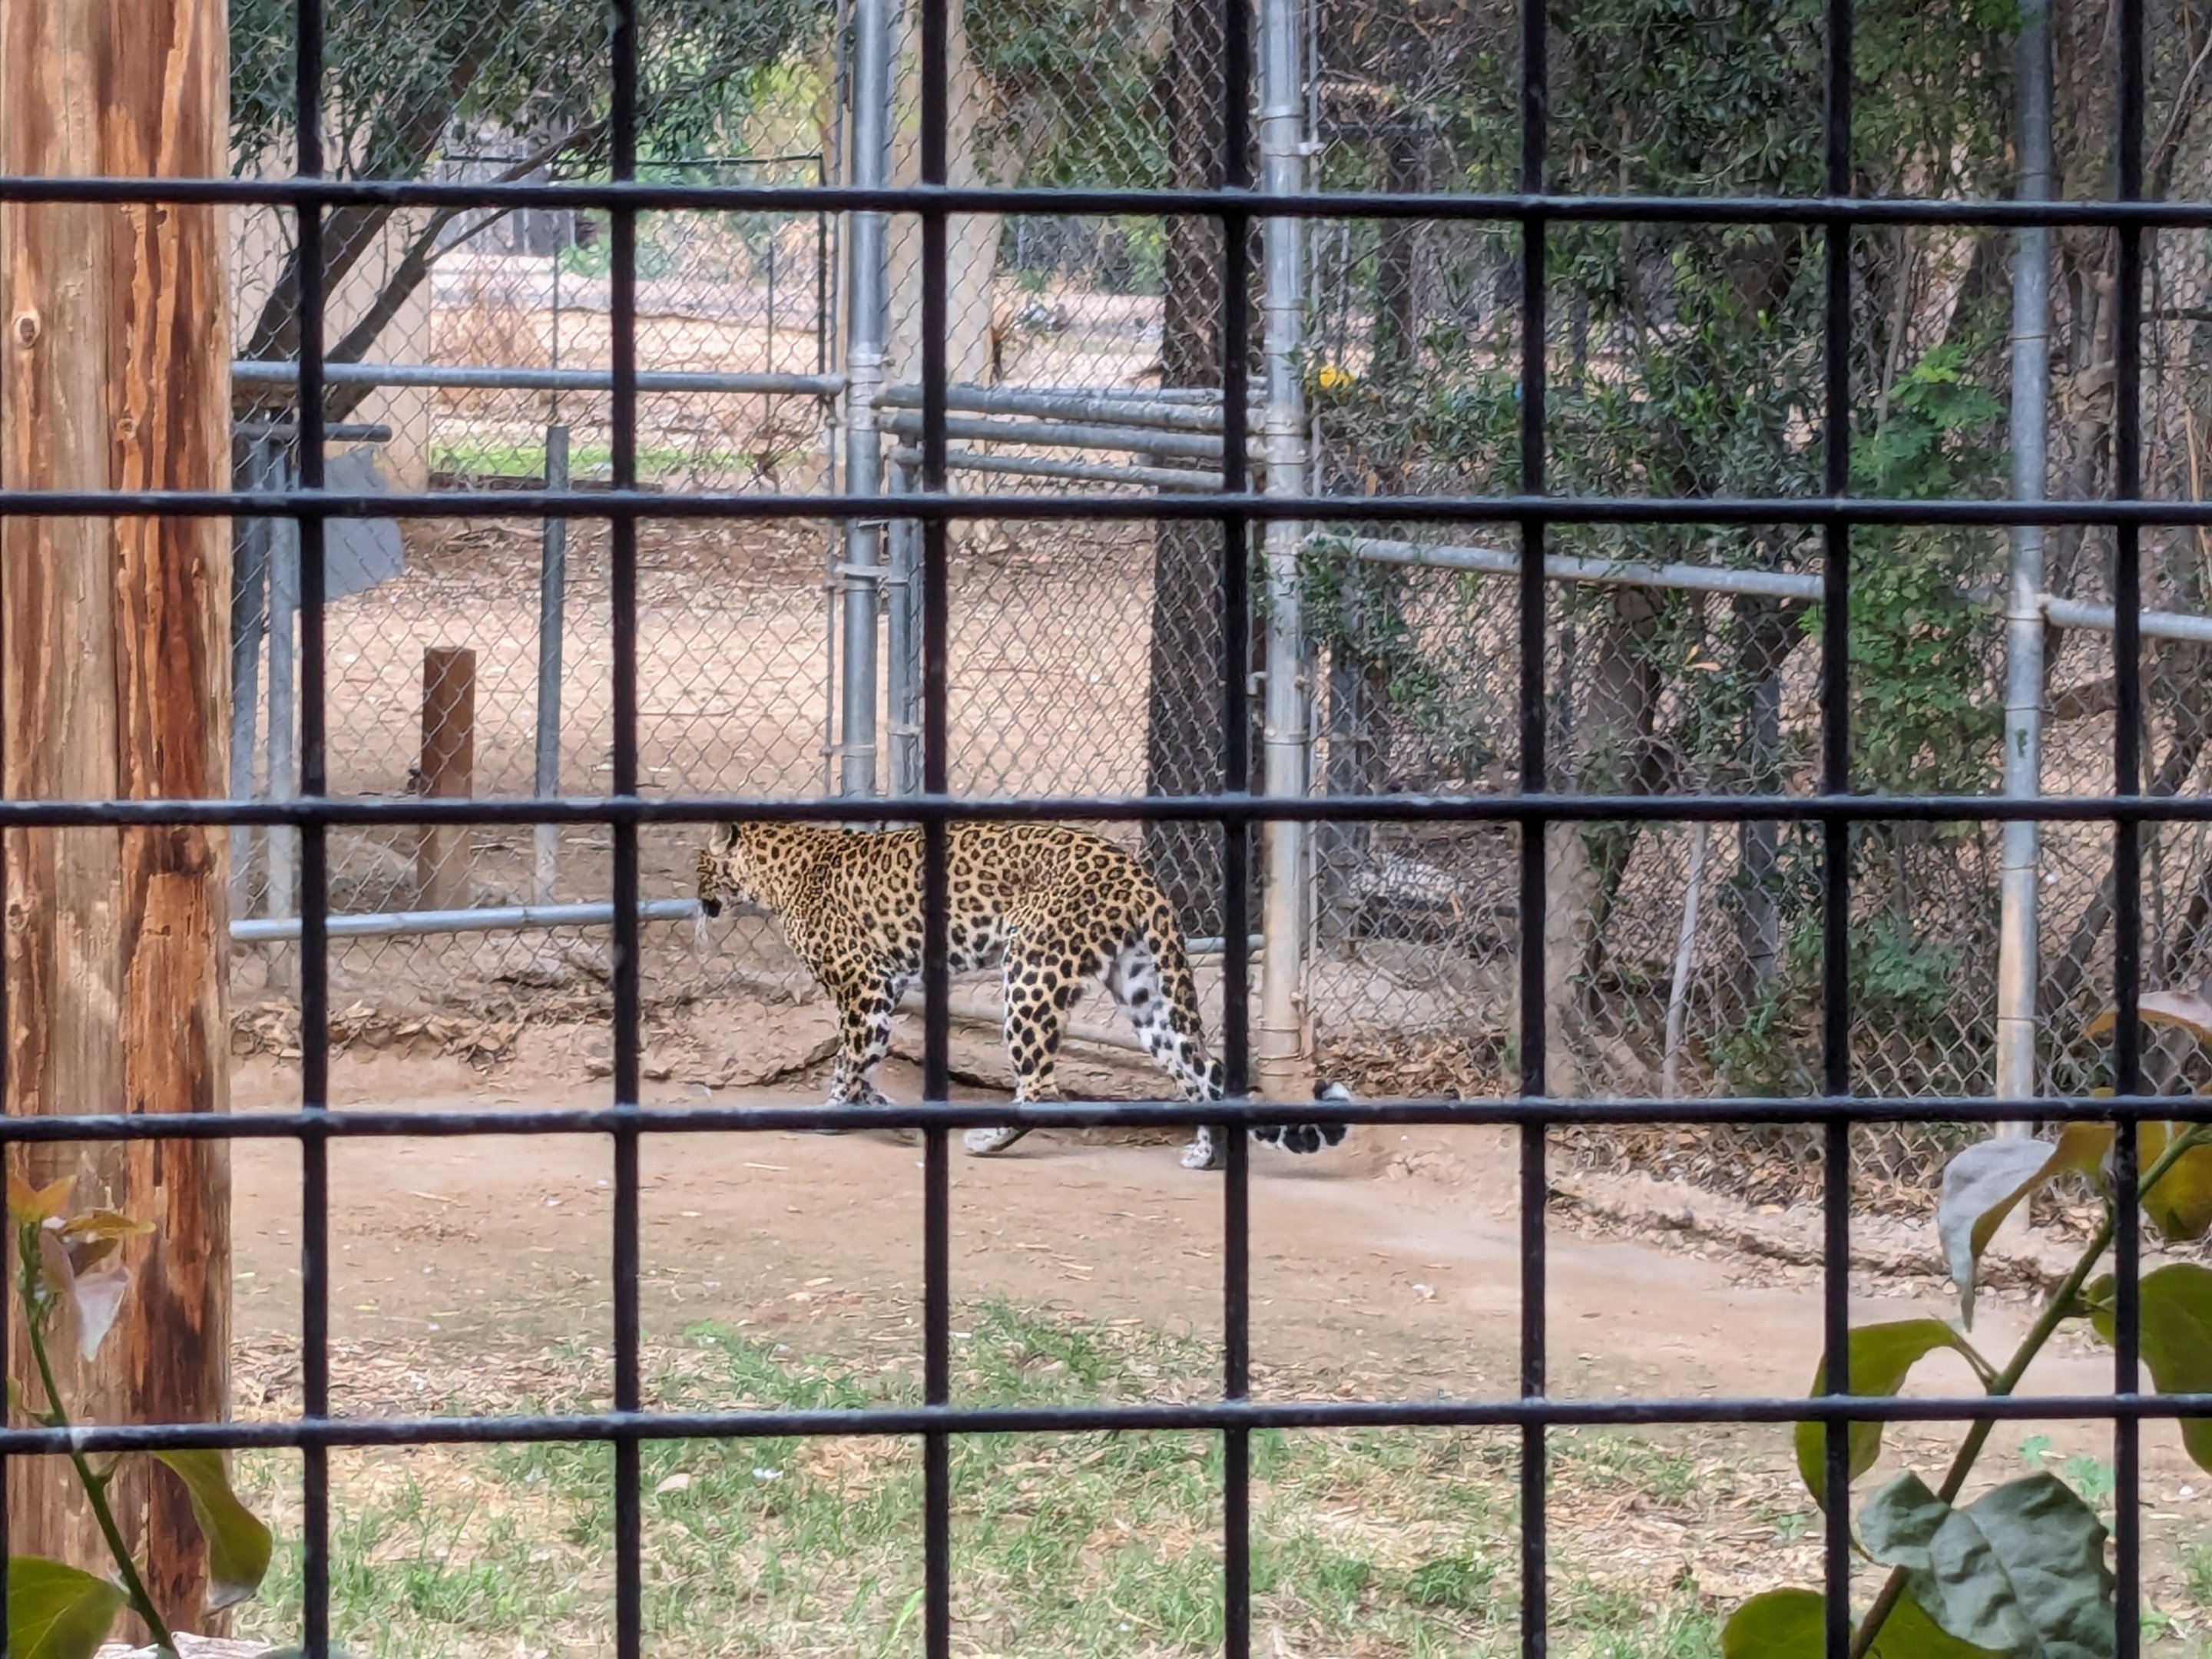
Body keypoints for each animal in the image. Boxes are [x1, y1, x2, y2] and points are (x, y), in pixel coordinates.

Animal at [694, 819, 1351, 1171]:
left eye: (700, 863)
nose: (698, 900)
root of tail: (1139, 874)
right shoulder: (887, 986)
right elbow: (867, 1060)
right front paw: (877, 1110)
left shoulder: (864, 983)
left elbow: (849, 1060)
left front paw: (834, 1114)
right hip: (1144, 991)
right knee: (1195, 1071)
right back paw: (1205, 1155)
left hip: (1031, 970)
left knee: (1041, 1085)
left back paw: (987, 1141)